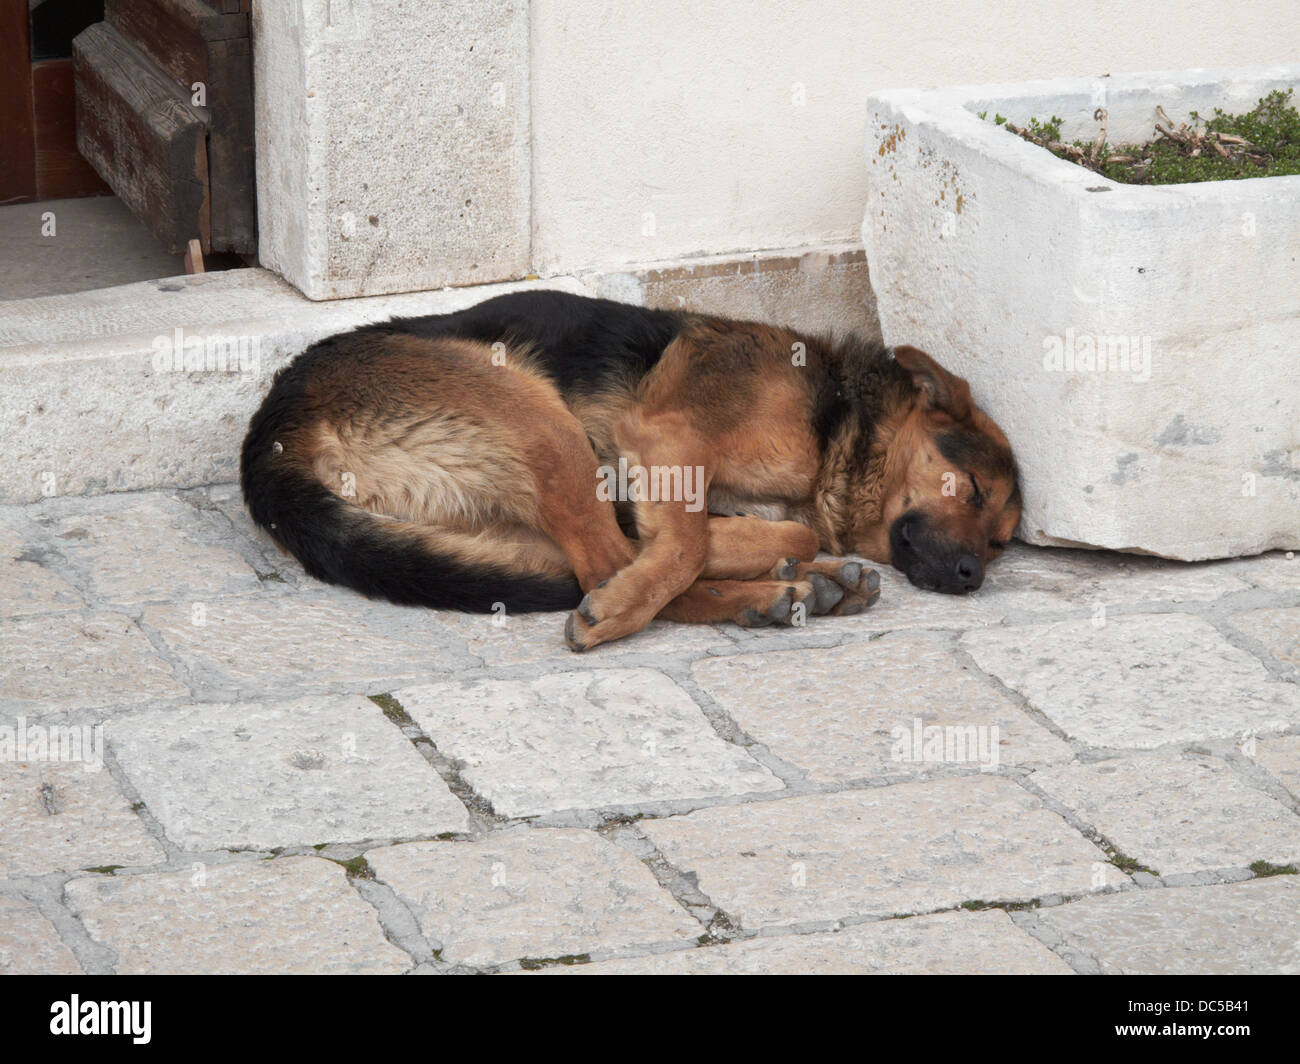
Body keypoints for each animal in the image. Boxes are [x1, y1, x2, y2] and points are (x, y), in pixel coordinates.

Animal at [241, 292, 1013, 655]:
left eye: (1003, 543)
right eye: (973, 490)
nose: (973, 576)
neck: (839, 422)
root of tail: (273, 430)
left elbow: (769, 529)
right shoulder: (667, 435)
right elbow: (692, 543)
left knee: (597, 557)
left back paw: (798, 587)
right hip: (540, 421)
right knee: (607, 564)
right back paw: (755, 592)